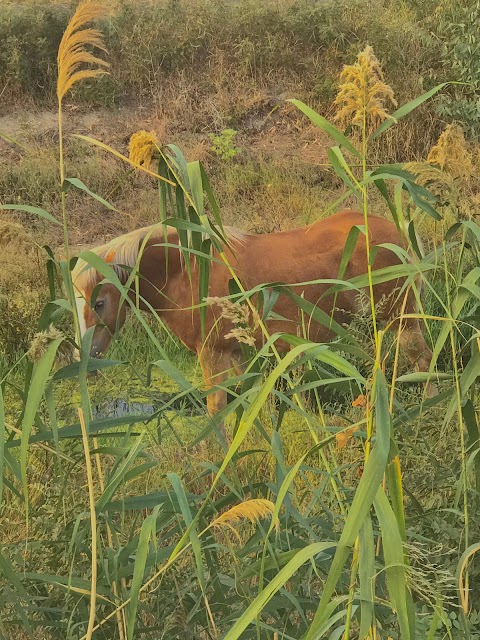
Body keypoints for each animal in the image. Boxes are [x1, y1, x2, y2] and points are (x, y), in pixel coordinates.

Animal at [73, 211, 434, 416]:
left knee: (422, 359)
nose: (86, 362)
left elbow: (216, 409)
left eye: (99, 303)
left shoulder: (212, 353)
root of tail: (396, 232)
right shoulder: (235, 353)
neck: (187, 268)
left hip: (401, 318)